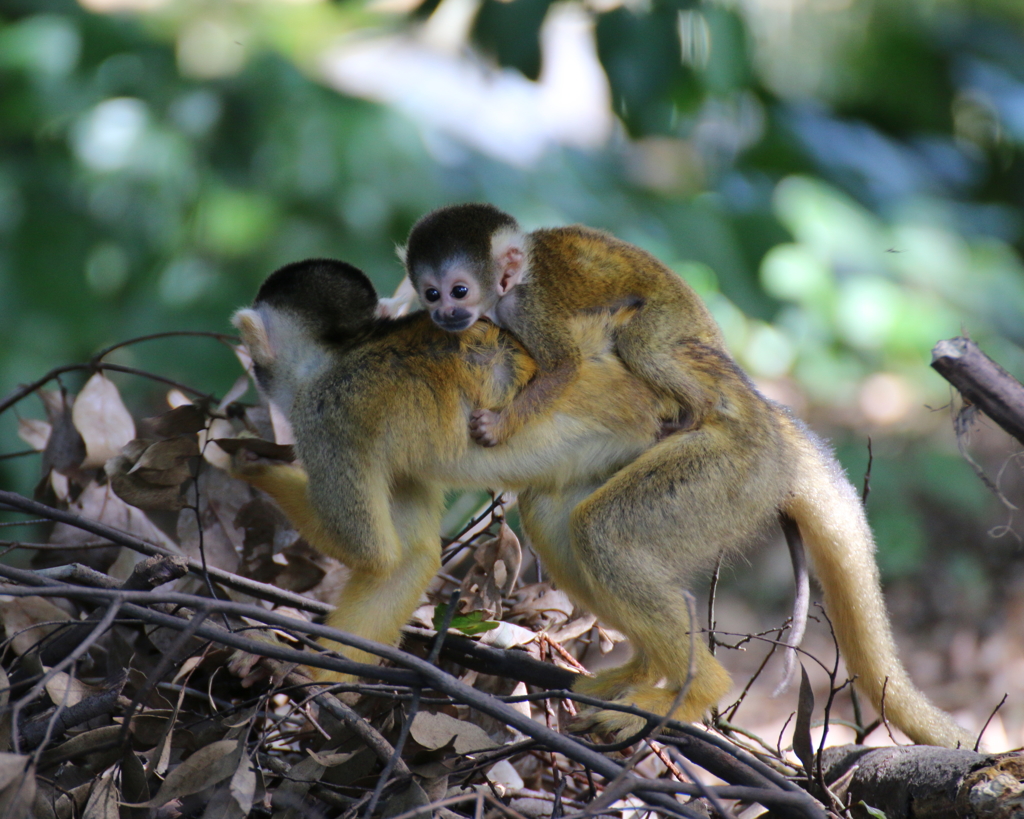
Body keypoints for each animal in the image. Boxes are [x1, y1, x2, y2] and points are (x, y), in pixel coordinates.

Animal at [235, 259, 970, 753]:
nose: (248, 370)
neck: (338, 357)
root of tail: (770, 419)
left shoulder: (326, 418)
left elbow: (369, 548)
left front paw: (241, 460)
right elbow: (402, 556)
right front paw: (310, 674)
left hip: (728, 469)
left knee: (604, 533)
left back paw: (691, 691)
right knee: (557, 519)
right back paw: (643, 672)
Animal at [380, 204, 724, 448]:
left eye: (459, 291)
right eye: (432, 295)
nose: (446, 314)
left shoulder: (525, 307)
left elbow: (565, 364)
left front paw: (498, 427)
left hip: (672, 312)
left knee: (639, 348)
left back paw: (699, 407)